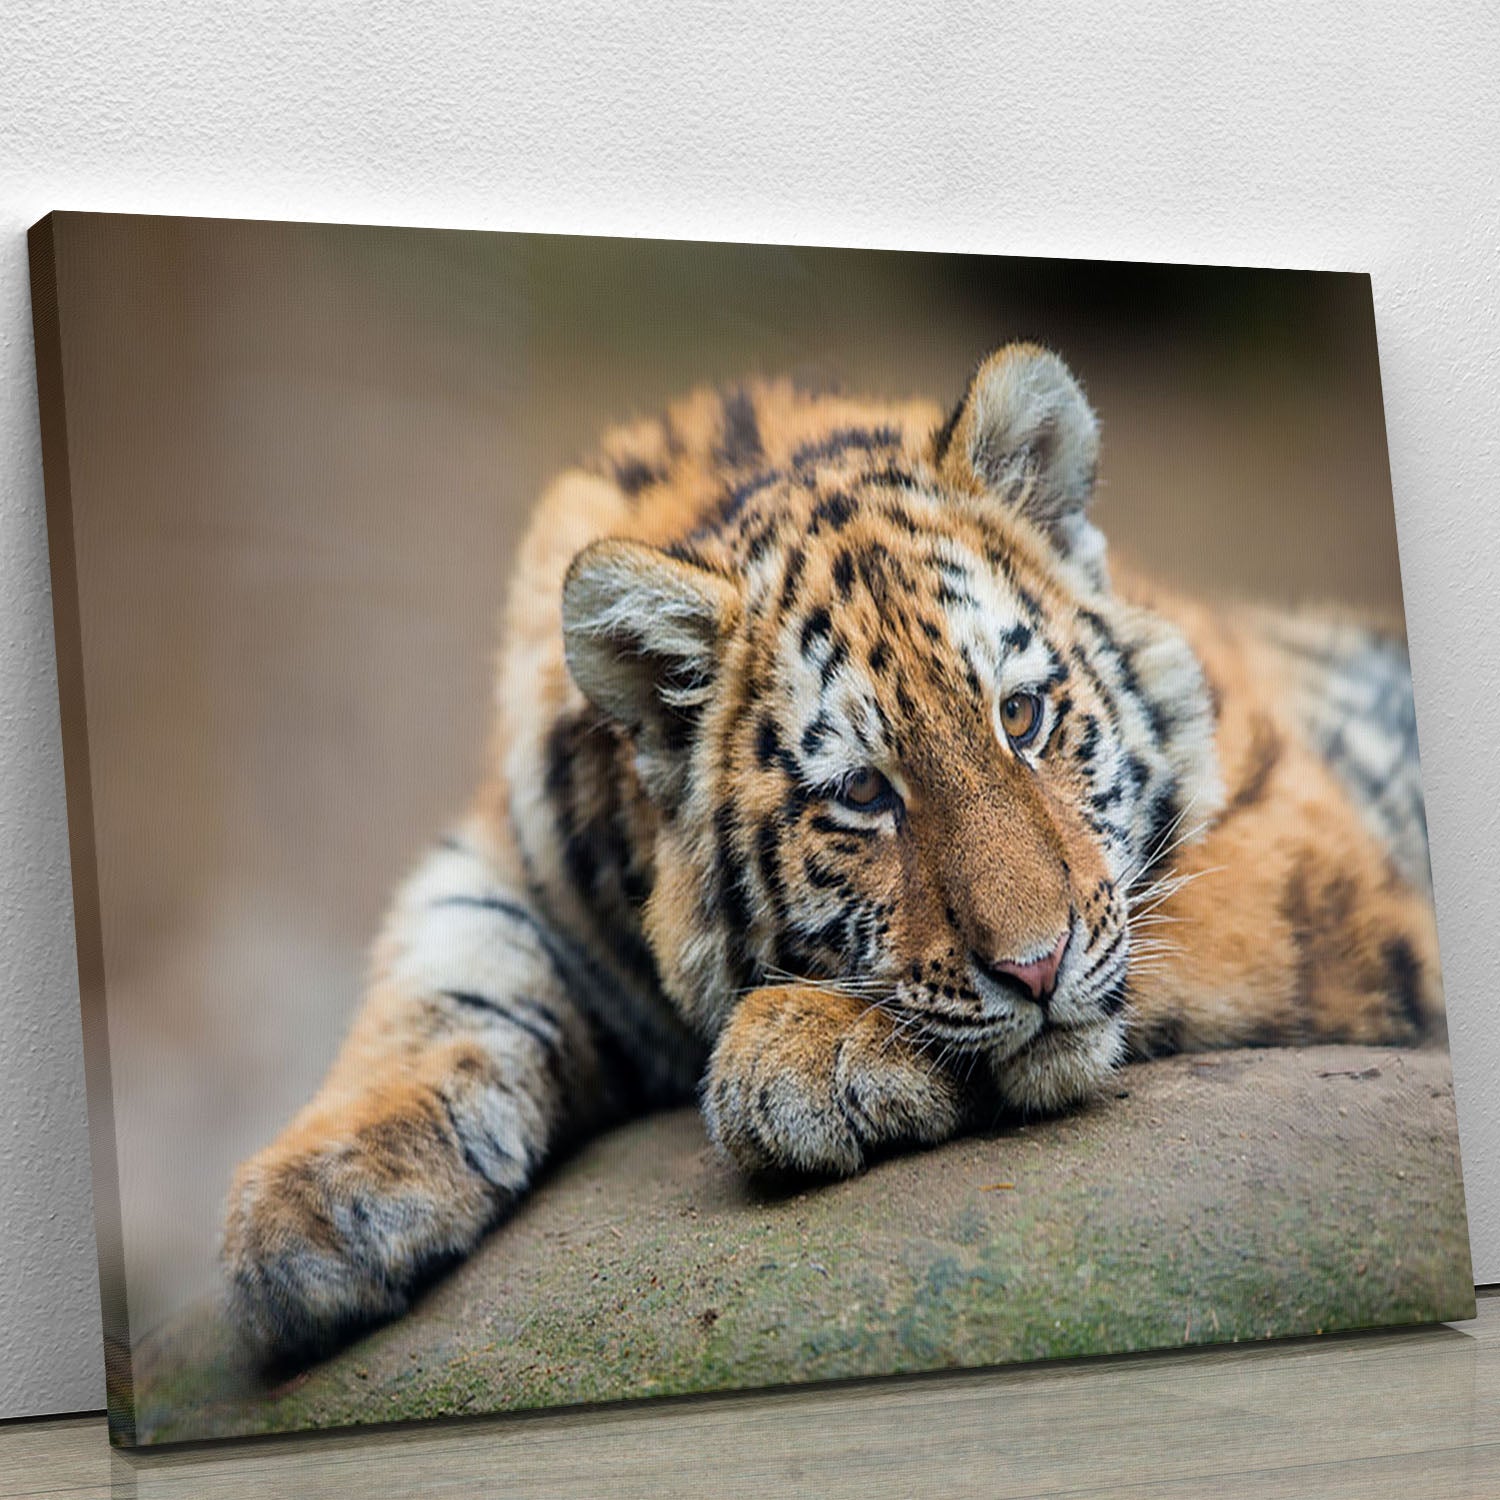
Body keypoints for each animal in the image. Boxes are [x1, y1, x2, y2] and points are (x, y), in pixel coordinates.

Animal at [221, 343, 1443, 1364]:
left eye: (1023, 716)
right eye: (863, 793)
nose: (1038, 969)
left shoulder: (1306, 841)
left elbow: (1157, 924)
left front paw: (808, 1052)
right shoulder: (511, 862)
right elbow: (443, 973)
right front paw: (311, 1208)